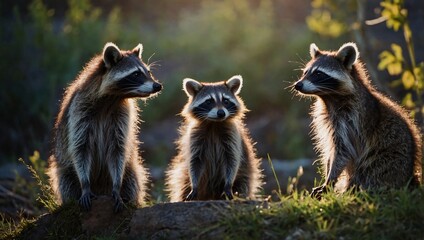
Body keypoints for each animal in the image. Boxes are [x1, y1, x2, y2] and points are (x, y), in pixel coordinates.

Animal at [46, 42, 162, 211]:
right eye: (135, 74)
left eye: (148, 72)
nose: (158, 86)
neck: (111, 100)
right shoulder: (79, 111)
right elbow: (80, 148)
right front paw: (85, 185)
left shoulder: (121, 116)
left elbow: (118, 149)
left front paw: (116, 186)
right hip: (65, 170)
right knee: (66, 182)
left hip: (131, 170)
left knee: (133, 180)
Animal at [294, 42, 422, 198]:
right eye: (305, 72)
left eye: (318, 73)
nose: (298, 85)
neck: (329, 98)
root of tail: (409, 176)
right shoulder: (329, 119)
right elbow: (331, 149)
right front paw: (328, 175)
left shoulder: (351, 120)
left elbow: (343, 150)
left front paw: (329, 181)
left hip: (388, 161)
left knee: (370, 170)